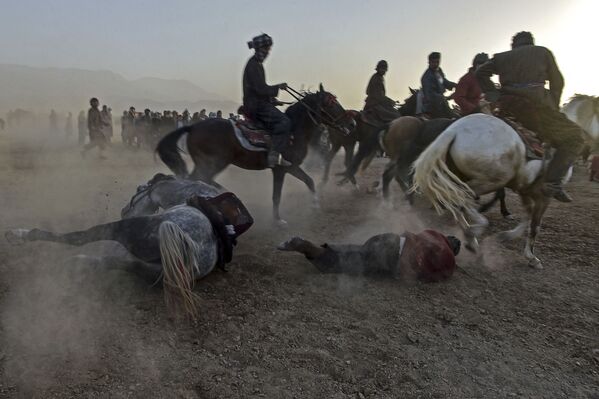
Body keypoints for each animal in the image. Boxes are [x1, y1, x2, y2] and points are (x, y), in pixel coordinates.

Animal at [7, 195, 255, 320]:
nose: (125, 208)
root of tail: (191, 243)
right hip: (146, 269)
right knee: (109, 262)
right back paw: (76, 263)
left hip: (124, 230)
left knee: (80, 238)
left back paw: (20, 235)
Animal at [156, 85, 356, 225]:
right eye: (331, 103)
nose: (352, 124)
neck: (294, 131)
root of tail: (193, 127)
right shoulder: (282, 169)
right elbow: (277, 195)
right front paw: (278, 220)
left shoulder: (290, 167)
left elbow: (310, 181)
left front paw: (315, 205)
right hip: (213, 163)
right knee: (198, 179)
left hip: (208, 163)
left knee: (200, 179)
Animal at [410, 111, 584, 268]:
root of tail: (454, 131)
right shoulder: (543, 197)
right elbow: (535, 225)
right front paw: (532, 257)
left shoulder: (525, 191)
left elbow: (527, 218)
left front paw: (507, 236)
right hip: (490, 181)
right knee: (463, 198)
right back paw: (475, 232)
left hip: (461, 177)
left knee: (457, 202)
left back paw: (472, 239)